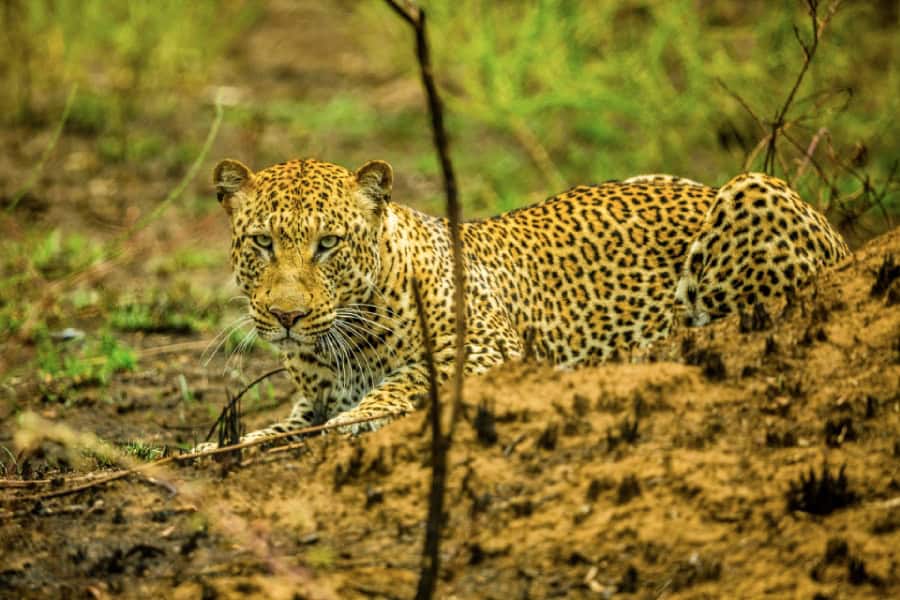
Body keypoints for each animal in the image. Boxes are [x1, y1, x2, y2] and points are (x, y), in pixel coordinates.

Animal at [193, 156, 848, 450]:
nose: (286, 315)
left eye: (327, 244)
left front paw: (363, 417)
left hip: (752, 190)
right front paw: (215, 444)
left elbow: (407, 380)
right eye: (262, 242)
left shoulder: (488, 350)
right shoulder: (309, 401)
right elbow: (275, 427)